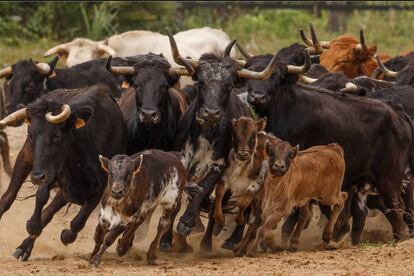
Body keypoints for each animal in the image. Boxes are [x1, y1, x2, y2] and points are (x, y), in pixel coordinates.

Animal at [0, 83, 126, 260]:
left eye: (57, 136)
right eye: (30, 135)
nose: (37, 176)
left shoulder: (100, 187)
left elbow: (78, 221)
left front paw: (66, 235)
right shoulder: (52, 171)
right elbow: (41, 197)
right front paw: (33, 225)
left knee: (50, 210)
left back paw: (24, 248)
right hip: (25, 158)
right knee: (8, 197)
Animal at [166, 31, 282, 250]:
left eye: (228, 86)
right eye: (201, 83)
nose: (211, 112)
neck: (206, 134)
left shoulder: (219, 167)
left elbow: (203, 192)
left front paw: (187, 222)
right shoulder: (182, 159)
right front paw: (166, 240)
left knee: (231, 207)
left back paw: (220, 240)